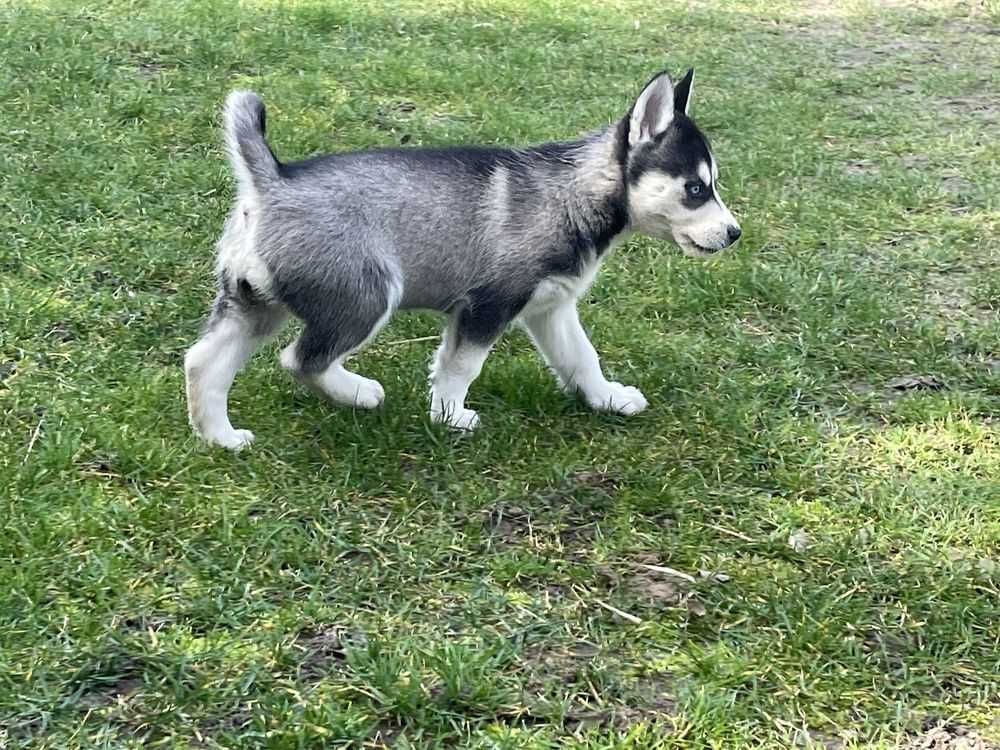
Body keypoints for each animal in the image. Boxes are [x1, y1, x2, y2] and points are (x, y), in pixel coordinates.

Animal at [184, 70, 740, 450]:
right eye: (695, 189)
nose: (735, 234)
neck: (571, 192)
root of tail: (271, 180)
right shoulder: (487, 306)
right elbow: (460, 367)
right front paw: (450, 417)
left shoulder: (551, 308)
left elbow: (581, 357)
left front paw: (607, 398)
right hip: (366, 297)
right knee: (302, 359)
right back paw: (359, 392)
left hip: (255, 305)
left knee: (203, 361)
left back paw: (221, 438)